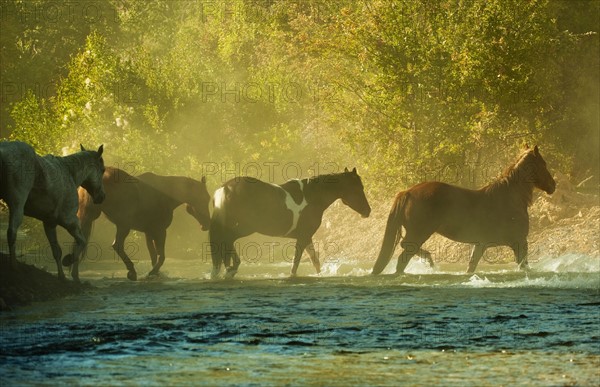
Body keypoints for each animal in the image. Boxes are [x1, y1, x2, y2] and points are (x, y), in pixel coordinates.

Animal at [0, 142, 105, 282]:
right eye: (103, 170)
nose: (102, 197)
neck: (69, 173)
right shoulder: (69, 221)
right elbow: (82, 241)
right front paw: (68, 260)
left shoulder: (49, 223)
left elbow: (57, 251)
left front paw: (61, 276)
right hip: (17, 206)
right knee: (11, 233)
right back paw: (14, 266)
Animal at [74, 168, 212, 280]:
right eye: (203, 198)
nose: (207, 224)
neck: (165, 195)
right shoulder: (160, 231)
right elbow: (161, 256)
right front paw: (152, 272)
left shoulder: (149, 232)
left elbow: (153, 256)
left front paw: (156, 274)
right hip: (122, 225)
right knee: (117, 245)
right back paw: (132, 272)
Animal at [210, 168, 370, 280]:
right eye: (358, 188)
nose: (368, 211)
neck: (312, 196)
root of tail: (226, 187)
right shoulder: (303, 237)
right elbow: (296, 263)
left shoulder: (306, 237)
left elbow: (315, 261)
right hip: (245, 228)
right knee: (227, 240)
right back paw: (231, 269)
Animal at [372, 146, 556, 276]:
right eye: (544, 164)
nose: (553, 185)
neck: (510, 198)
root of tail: (408, 192)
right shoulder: (519, 242)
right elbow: (524, 266)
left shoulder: (481, 244)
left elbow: (471, 266)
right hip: (420, 233)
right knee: (403, 255)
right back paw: (428, 260)